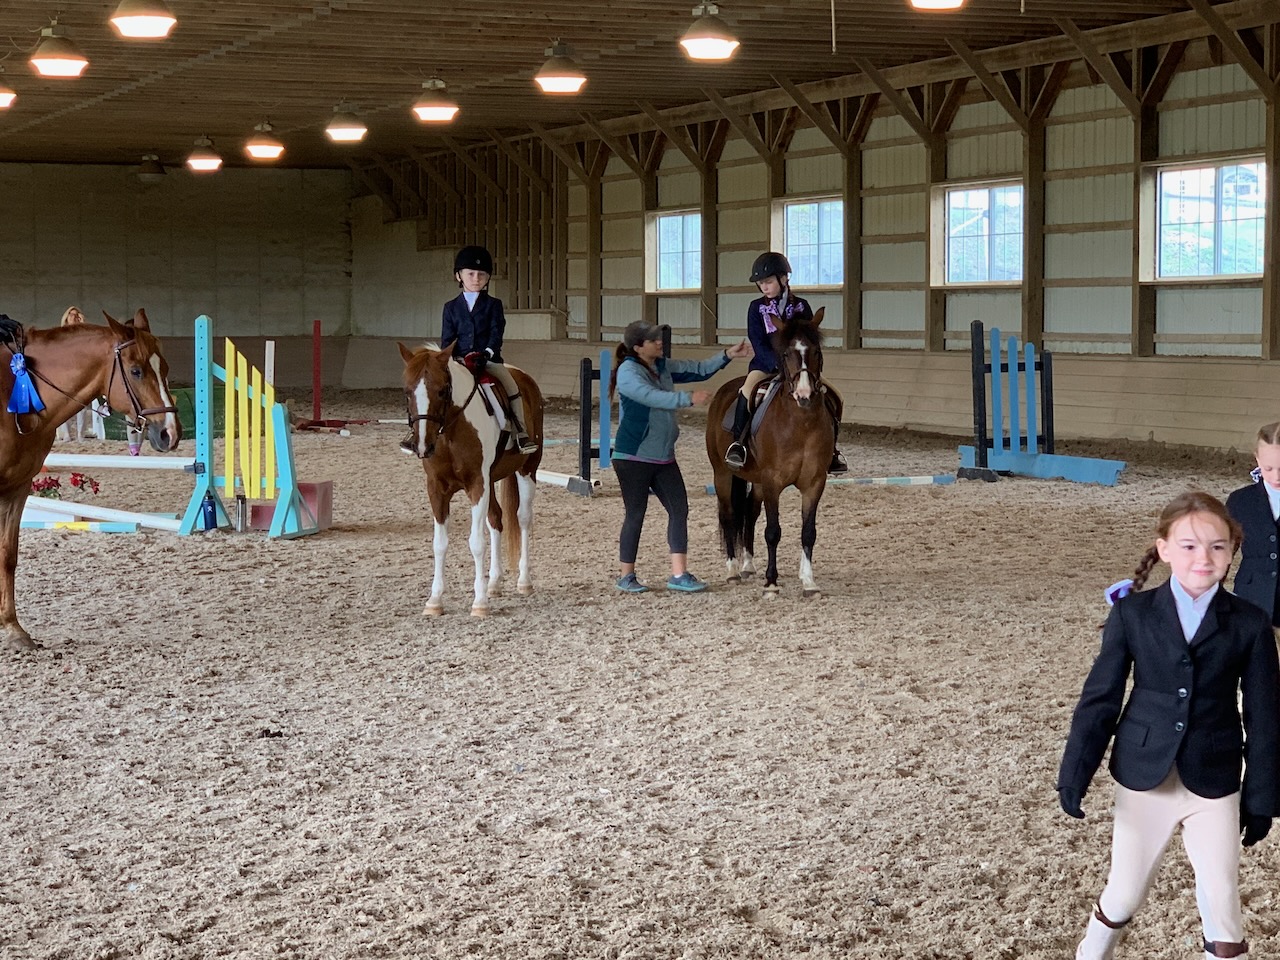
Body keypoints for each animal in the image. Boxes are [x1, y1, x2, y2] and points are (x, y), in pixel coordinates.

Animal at [0, 308, 182, 650]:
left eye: (163, 368)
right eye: (136, 371)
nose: (170, 433)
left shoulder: (18, 488)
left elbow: (8, 555)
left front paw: (15, 630)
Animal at [397, 343, 544, 618]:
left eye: (443, 390)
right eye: (407, 391)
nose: (422, 445)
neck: (450, 433)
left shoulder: (477, 484)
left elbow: (476, 543)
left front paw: (479, 603)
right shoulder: (437, 489)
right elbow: (439, 544)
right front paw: (434, 601)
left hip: (527, 469)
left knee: (523, 519)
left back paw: (524, 581)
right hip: (492, 478)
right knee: (496, 519)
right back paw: (494, 584)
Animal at [705, 307, 835, 599]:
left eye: (816, 352)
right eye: (785, 354)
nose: (804, 395)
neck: (800, 423)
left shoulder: (814, 483)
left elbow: (808, 532)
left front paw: (809, 582)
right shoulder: (773, 481)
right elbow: (773, 531)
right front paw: (771, 583)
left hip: (756, 481)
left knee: (750, 514)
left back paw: (748, 565)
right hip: (723, 474)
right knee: (729, 516)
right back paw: (733, 571)